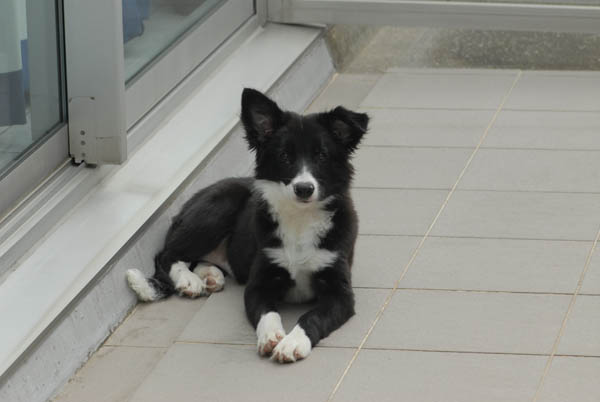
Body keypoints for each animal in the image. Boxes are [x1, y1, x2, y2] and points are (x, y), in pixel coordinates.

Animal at [126, 88, 368, 364]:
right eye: (285, 156)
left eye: (322, 155)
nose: (304, 189)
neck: (299, 218)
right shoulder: (258, 284)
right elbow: (267, 313)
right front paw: (271, 337)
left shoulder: (340, 292)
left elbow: (312, 316)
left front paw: (292, 342)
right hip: (221, 204)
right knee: (166, 253)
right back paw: (188, 280)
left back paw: (209, 275)